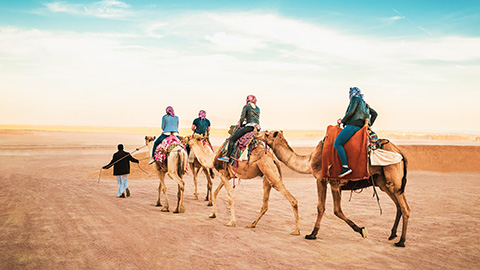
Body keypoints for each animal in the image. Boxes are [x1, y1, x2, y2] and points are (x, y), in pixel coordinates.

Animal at [256, 129, 410, 247]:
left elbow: (328, 209)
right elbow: (334, 209)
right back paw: (392, 235)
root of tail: (401, 153)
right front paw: (361, 229)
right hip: (383, 182)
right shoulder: (332, 183)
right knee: (398, 205)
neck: (310, 160)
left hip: (393, 178)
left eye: (267, 133)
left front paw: (312, 234)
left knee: (405, 208)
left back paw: (401, 242)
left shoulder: (324, 180)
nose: (257, 134)